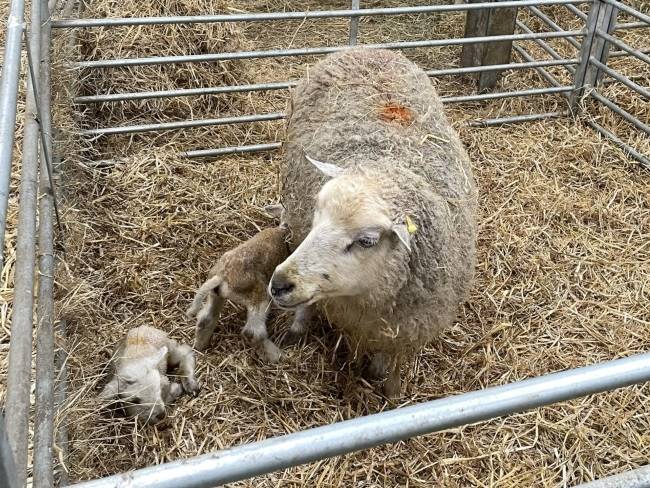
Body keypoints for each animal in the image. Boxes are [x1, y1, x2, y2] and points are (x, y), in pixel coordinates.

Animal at [268, 45, 476, 398]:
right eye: (316, 213)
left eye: (366, 241)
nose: (280, 283)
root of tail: (364, 48)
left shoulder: (409, 330)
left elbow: (392, 368)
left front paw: (392, 392)